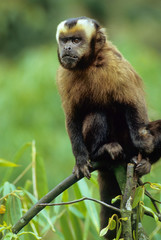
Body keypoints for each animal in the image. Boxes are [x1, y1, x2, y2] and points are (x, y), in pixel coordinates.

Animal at [55, 16, 161, 238]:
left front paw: (143, 143)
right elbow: (72, 117)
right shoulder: (64, 76)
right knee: (98, 114)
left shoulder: (114, 63)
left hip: (129, 148)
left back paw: (145, 163)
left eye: (76, 40)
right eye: (65, 40)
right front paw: (80, 160)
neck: (87, 64)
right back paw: (102, 151)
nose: (67, 47)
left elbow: (132, 101)